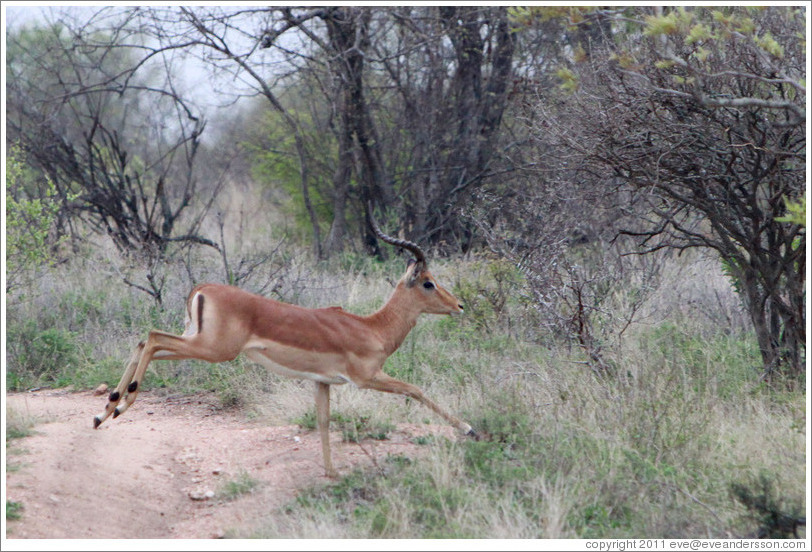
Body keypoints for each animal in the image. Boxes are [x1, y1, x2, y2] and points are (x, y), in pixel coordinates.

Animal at [93, 213, 478, 476]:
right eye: (428, 282)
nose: (459, 306)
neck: (372, 328)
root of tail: (201, 288)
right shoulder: (367, 378)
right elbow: (416, 389)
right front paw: (468, 429)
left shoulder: (323, 382)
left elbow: (324, 421)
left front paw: (331, 472)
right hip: (214, 350)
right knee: (153, 338)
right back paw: (120, 406)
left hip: (199, 342)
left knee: (145, 341)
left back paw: (105, 411)